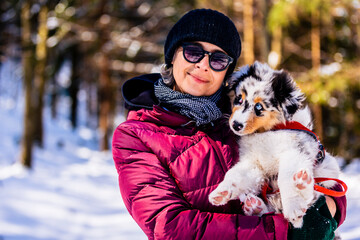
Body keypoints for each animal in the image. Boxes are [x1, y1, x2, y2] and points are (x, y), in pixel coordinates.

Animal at [208, 61, 340, 228]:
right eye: (239, 98)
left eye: (259, 107)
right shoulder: (254, 163)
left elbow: (286, 177)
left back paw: (300, 185)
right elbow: (235, 174)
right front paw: (222, 192)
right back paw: (254, 206)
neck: (265, 132)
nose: (236, 125)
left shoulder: (294, 152)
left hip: (326, 171)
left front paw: (294, 206)